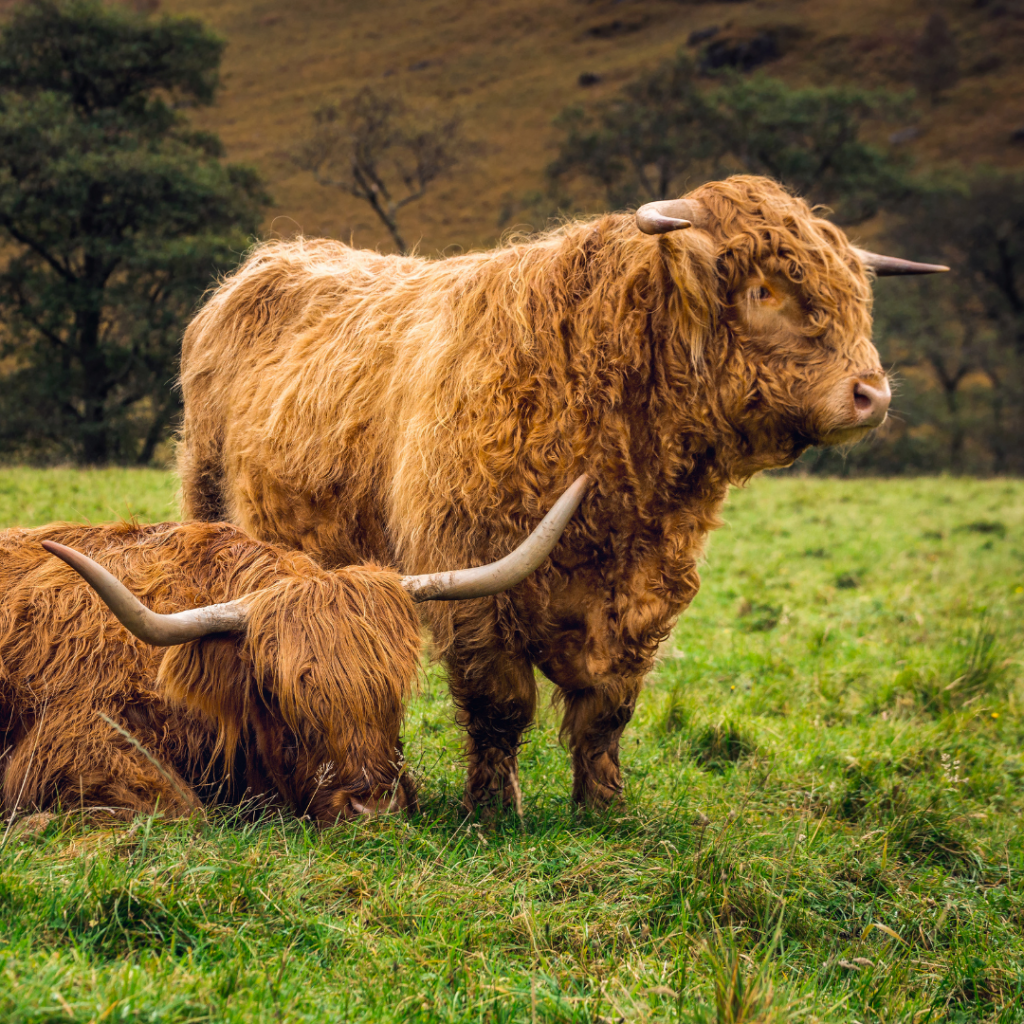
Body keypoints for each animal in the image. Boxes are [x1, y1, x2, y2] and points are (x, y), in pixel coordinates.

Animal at [176, 174, 947, 813]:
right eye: (764, 290)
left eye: (855, 294)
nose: (871, 394)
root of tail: (277, 255)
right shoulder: (471, 578)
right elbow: (499, 704)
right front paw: (492, 810)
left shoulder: (645, 589)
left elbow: (608, 708)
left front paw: (603, 808)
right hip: (208, 496)